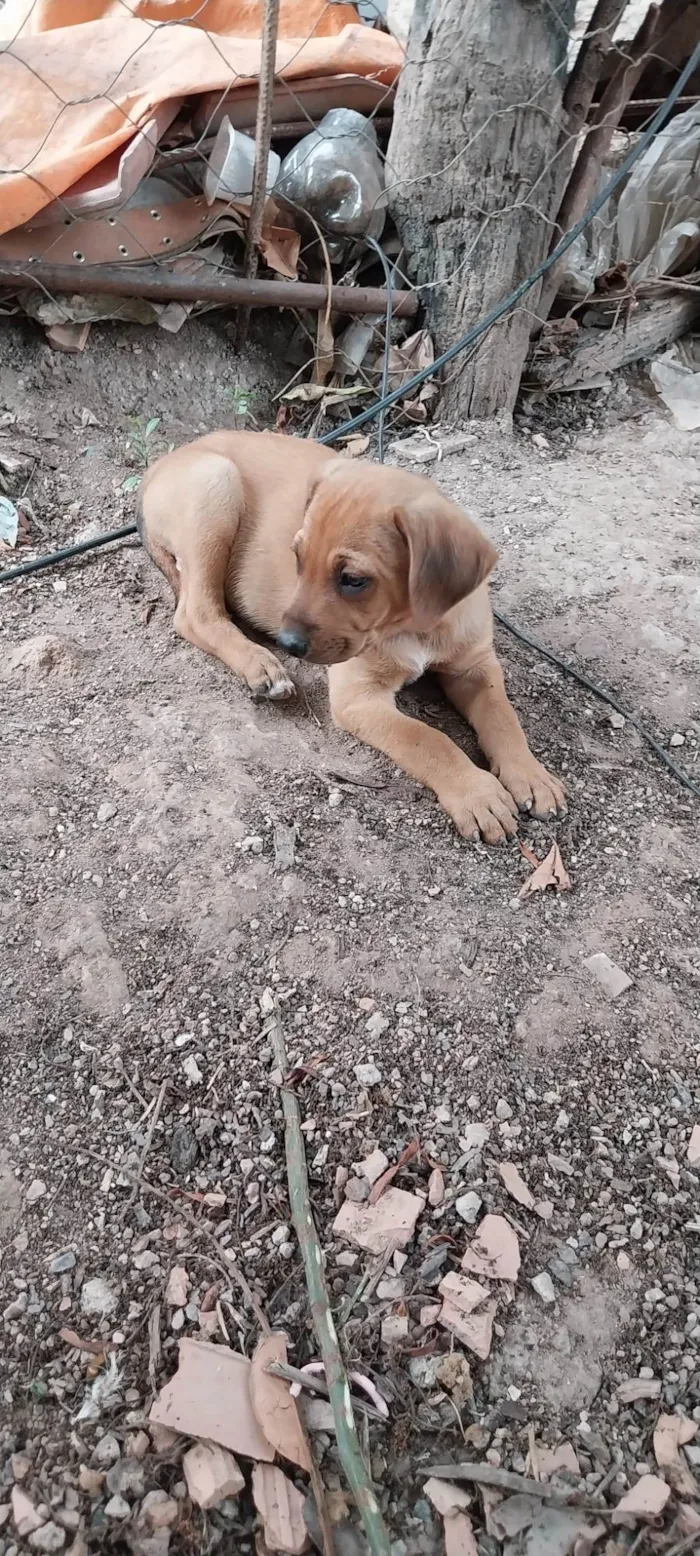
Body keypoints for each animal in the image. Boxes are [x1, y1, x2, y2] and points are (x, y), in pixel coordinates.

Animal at [139, 426, 566, 846]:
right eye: (298, 559)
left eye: (353, 579)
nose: (288, 643)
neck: (413, 626)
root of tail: (159, 465)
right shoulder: (359, 697)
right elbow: (426, 738)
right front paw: (477, 793)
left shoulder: (474, 666)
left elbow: (503, 716)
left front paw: (531, 774)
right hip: (215, 490)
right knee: (195, 612)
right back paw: (261, 664)